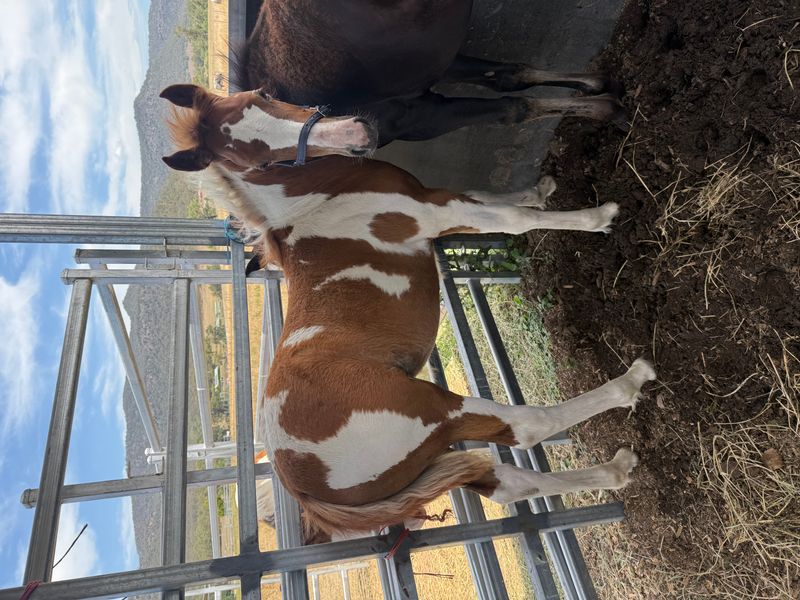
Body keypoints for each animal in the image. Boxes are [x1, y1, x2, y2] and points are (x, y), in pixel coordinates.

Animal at [161, 84, 655, 539]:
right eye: (258, 161)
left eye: (260, 95)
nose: (356, 132)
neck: (313, 201)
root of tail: (302, 487)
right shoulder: (433, 213)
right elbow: (515, 221)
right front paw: (599, 217)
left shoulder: (434, 199)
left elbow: (493, 198)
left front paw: (540, 188)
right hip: (434, 411)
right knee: (528, 427)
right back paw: (631, 381)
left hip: (427, 456)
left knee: (510, 483)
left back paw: (616, 469)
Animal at [228, 0, 627, 148]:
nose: (363, 134)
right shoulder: (423, 106)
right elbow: (513, 94)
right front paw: (602, 97)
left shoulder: (424, 99)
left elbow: (512, 90)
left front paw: (601, 95)